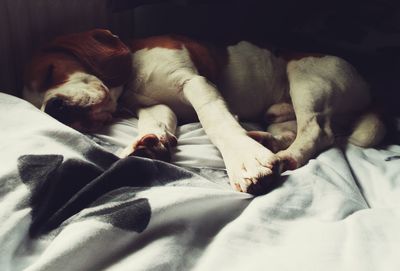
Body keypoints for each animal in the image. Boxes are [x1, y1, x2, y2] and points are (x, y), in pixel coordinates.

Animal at [23, 29, 386, 196]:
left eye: (50, 72)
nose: (52, 109)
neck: (129, 80)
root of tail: (369, 88)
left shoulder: (194, 84)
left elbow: (217, 122)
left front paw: (245, 161)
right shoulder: (155, 104)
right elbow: (156, 120)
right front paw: (148, 143)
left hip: (306, 79)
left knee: (318, 132)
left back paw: (282, 156)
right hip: (281, 111)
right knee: (292, 129)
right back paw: (264, 140)